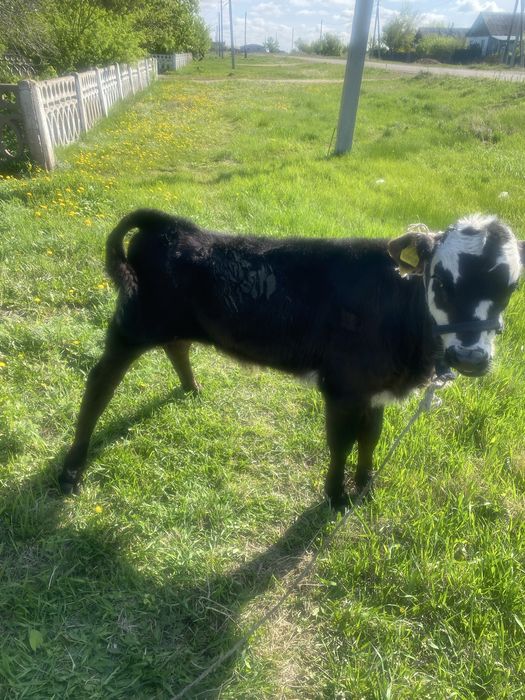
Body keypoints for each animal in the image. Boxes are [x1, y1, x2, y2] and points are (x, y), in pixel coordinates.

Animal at [58, 210, 524, 508]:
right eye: (440, 281)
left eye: (511, 287)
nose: (470, 357)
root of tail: (171, 226)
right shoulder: (342, 387)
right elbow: (341, 442)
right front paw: (336, 498)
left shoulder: (374, 390)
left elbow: (370, 439)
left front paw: (365, 487)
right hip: (133, 324)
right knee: (99, 384)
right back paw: (72, 469)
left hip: (169, 324)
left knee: (177, 347)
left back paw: (192, 389)